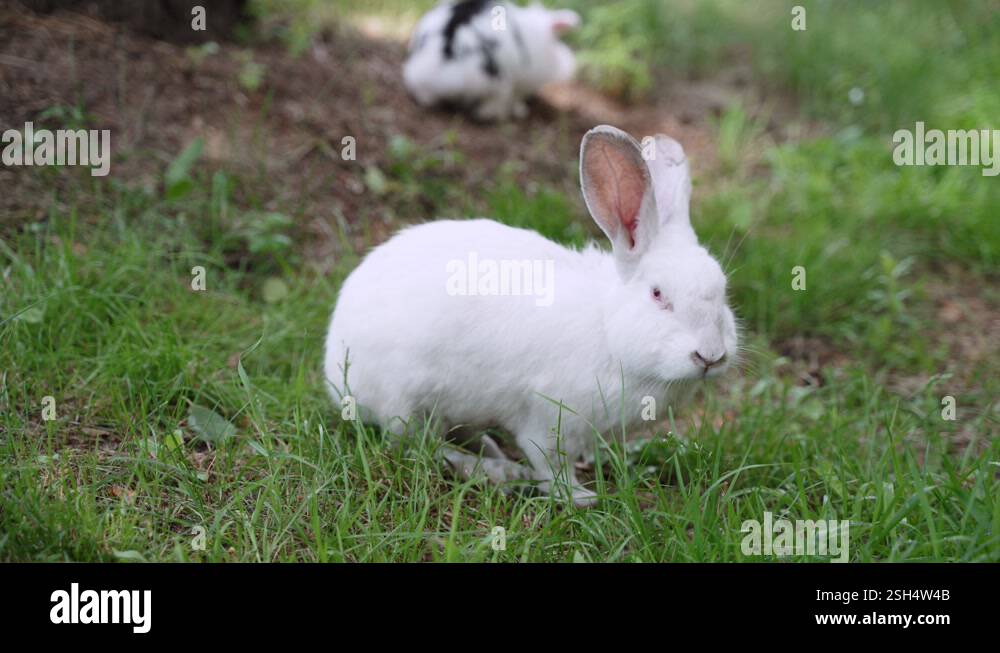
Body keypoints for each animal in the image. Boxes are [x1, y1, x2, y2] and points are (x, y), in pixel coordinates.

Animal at [324, 125, 739, 506]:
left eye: (723, 292)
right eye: (657, 295)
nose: (710, 356)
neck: (608, 330)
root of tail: (333, 363)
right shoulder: (548, 416)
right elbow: (550, 464)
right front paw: (581, 497)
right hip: (404, 403)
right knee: (420, 445)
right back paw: (494, 468)